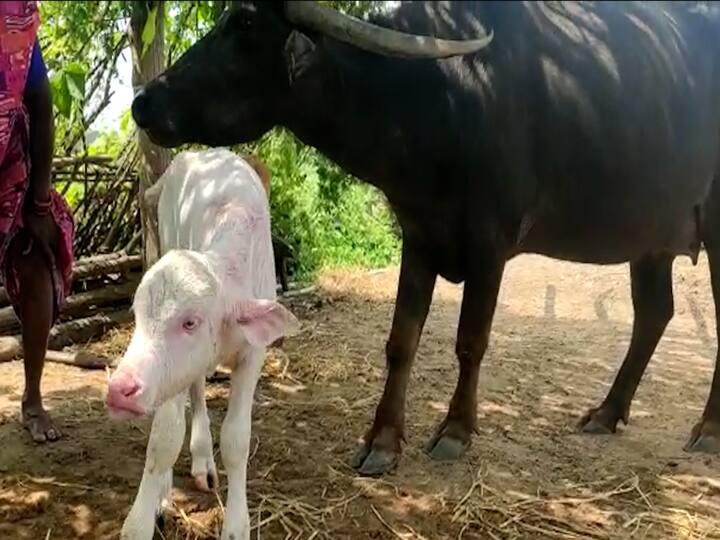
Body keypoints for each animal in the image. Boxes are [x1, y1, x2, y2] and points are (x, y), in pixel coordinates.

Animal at [104, 149, 296, 540]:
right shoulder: (172, 373)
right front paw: (141, 519)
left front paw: (236, 524)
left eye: (190, 322)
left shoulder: (253, 354)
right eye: (137, 314)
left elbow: (237, 439)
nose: (119, 389)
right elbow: (164, 437)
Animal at [129, 0, 720, 472]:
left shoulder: (489, 246)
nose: (143, 102)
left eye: (245, 24)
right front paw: (382, 440)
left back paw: (706, 430)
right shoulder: (419, 236)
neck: (442, 98)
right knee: (654, 313)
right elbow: (401, 342)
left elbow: (470, 342)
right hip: (652, 240)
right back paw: (607, 412)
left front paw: (455, 431)